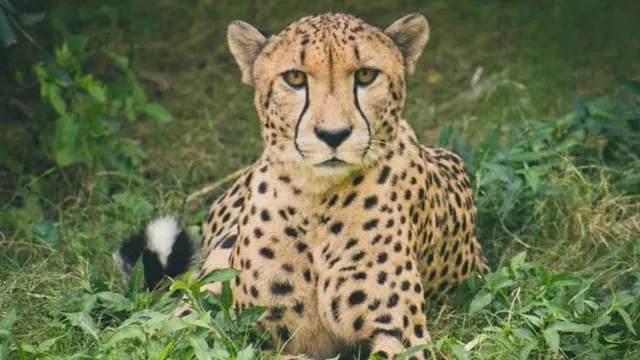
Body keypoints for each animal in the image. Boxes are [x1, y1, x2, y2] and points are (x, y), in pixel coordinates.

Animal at [115, 12, 488, 360]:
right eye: (294, 77)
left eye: (366, 75)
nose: (333, 135)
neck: (317, 200)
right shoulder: (229, 328)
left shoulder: (402, 336)